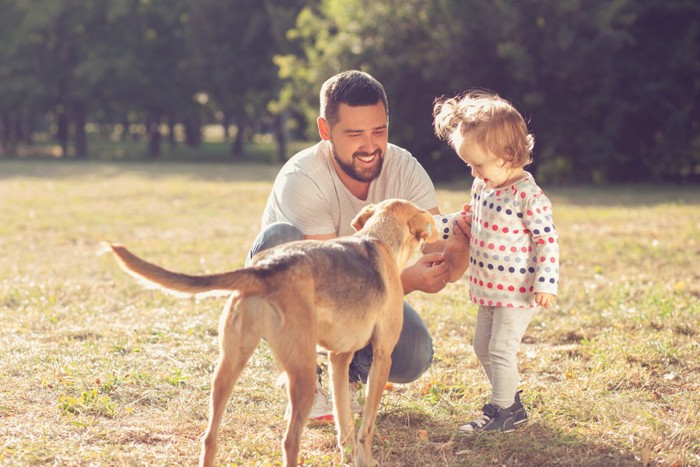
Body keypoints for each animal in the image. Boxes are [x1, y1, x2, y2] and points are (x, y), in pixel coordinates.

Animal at [108, 199, 438, 466]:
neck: (377, 239)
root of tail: (265, 268)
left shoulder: (338, 358)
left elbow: (344, 422)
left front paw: (348, 457)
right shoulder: (382, 356)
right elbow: (365, 427)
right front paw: (364, 459)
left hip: (228, 367)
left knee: (209, 437)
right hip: (301, 374)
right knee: (289, 441)